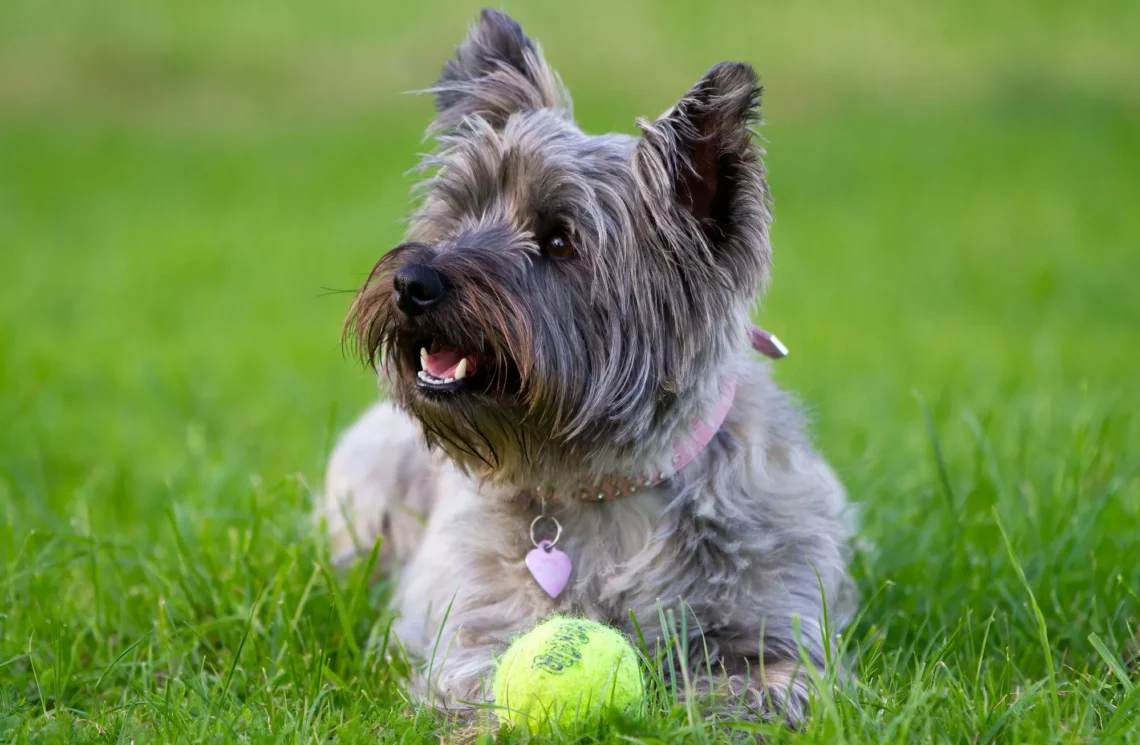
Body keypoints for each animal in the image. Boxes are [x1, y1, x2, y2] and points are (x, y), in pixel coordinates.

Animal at [316, 8, 852, 729]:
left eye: (560, 241)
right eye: (460, 212)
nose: (411, 282)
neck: (608, 487)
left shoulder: (779, 629)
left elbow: (763, 682)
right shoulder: (472, 627)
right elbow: (480, 682)